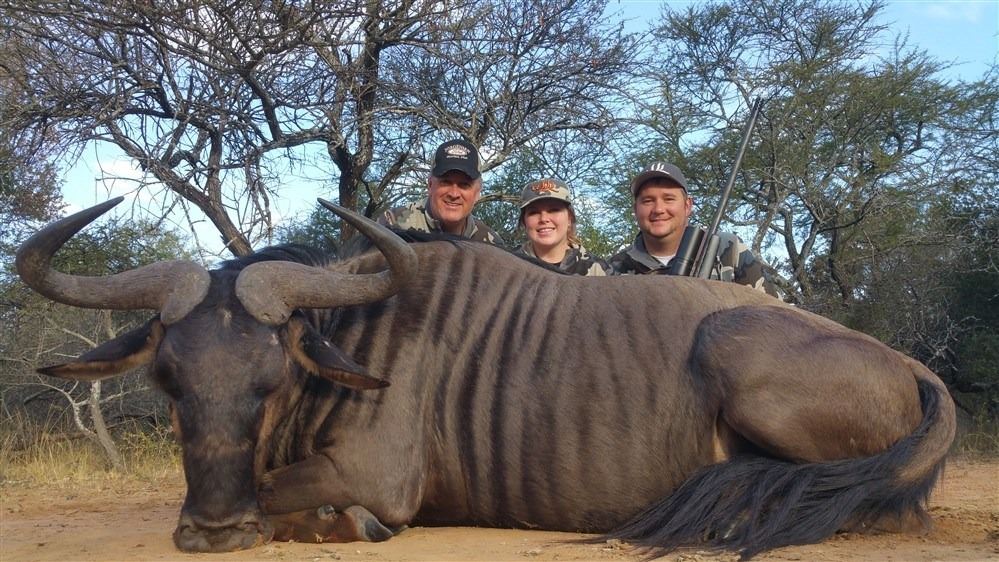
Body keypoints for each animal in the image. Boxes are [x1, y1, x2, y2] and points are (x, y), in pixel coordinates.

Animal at [16, 197, 955, 559]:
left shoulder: (376, 479)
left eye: (270, 379)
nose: (213, 530)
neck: (350, 334)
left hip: (731, 347)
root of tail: (911, 367)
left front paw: (328, 523)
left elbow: (307, 495)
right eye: (170, 381)